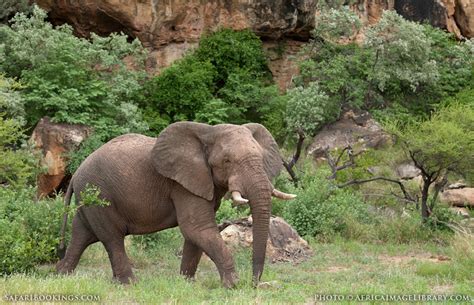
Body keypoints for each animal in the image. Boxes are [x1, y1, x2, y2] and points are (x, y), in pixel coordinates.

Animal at [55, 121, 296, 288]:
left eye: (260, 158)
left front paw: (186, 283)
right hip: (99, 194)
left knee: (82, 235)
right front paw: (232, 286)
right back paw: (130, 284)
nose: (254, 284)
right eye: (227, 161)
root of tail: (76, 174)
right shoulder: (181, 184)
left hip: (89, 199)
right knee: (112, 238)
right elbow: (197, 228)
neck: (208, 132)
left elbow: (195, 234)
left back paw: (63, 275)